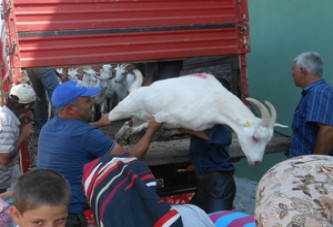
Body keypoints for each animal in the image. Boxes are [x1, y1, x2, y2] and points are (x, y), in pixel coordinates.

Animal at [107, 72, 282, 165]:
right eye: (255, 137)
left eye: (268, 140)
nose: (257, 162)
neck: (216, 103)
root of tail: (138, 90)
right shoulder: (165, 115)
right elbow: (158, 121)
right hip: (122, 108)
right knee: (109, 117)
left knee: (133, 123)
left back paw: (125, 133)